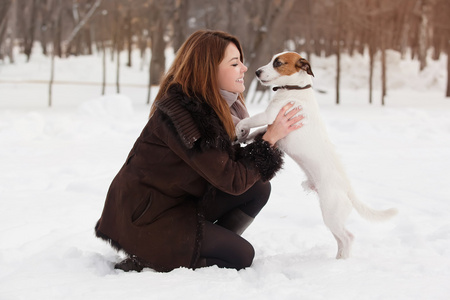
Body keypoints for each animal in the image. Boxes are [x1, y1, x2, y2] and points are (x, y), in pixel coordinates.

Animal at [236, 51, 398, 258]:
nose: (256, 72)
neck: (296, 88)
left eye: (278, 63)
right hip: (330, 215)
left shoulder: (270, 115)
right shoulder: (273, 123)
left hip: (331, 213)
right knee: (340, 240)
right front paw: (245, 137)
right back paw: (337, 259)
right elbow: (260, 131)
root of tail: (347, 188)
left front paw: (239, 128)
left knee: (348, 237)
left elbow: (250, 120)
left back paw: (341, 261)